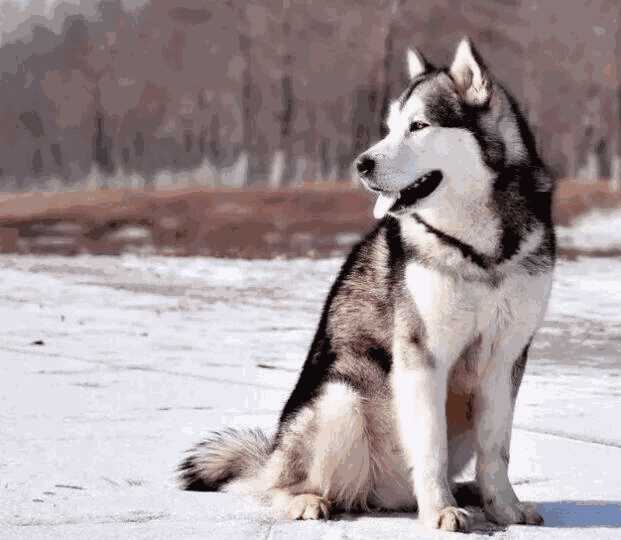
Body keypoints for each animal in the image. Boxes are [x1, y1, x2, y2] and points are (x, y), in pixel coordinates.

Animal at [177, 37, 556, 532]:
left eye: (418, 126)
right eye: (389, 128)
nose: (361, 164)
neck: (481, 250)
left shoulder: (504, 357)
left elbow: (497, 450)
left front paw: (505, 508)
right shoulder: (422, 356)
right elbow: (429, 448)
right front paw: (440, 510)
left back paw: (465, 492)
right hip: (341, 399)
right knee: (277, 486)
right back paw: (307, 500)